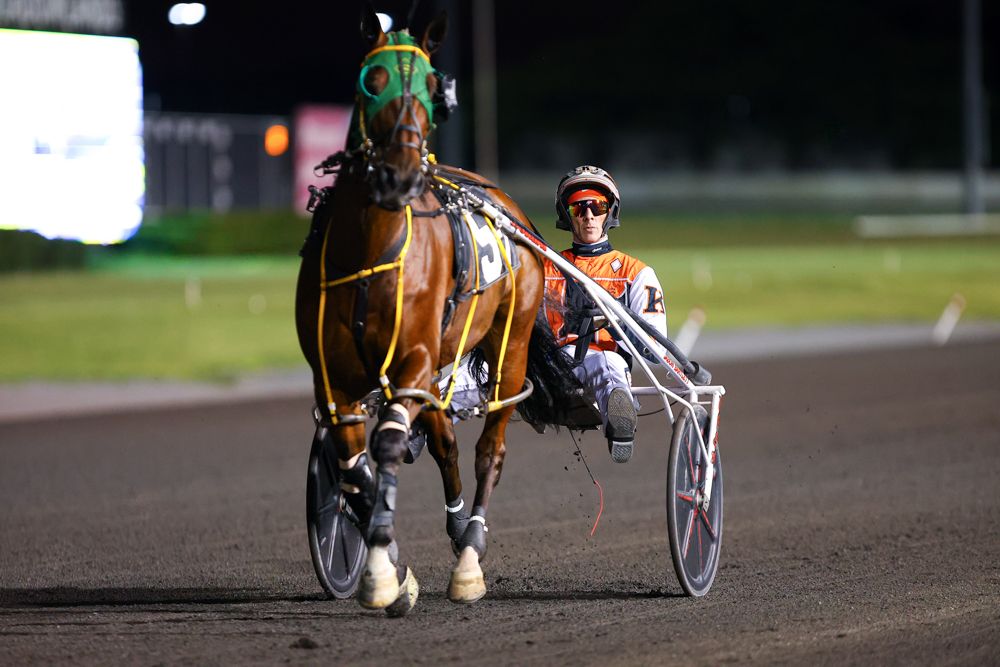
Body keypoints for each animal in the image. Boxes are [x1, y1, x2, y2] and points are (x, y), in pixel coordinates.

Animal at [295, 5, 577, 615]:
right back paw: (454, 527)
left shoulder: (412, 361)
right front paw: (390, 568)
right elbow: (353, 468)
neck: (371, 249)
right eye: (372, 80)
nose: (398, 174)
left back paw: (470, 554)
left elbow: (388, 443)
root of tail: (503, 201)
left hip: (509, 344)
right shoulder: (333, 379)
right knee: (444, 440)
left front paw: (382, 572)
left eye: (430, 86)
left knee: (489, 448)